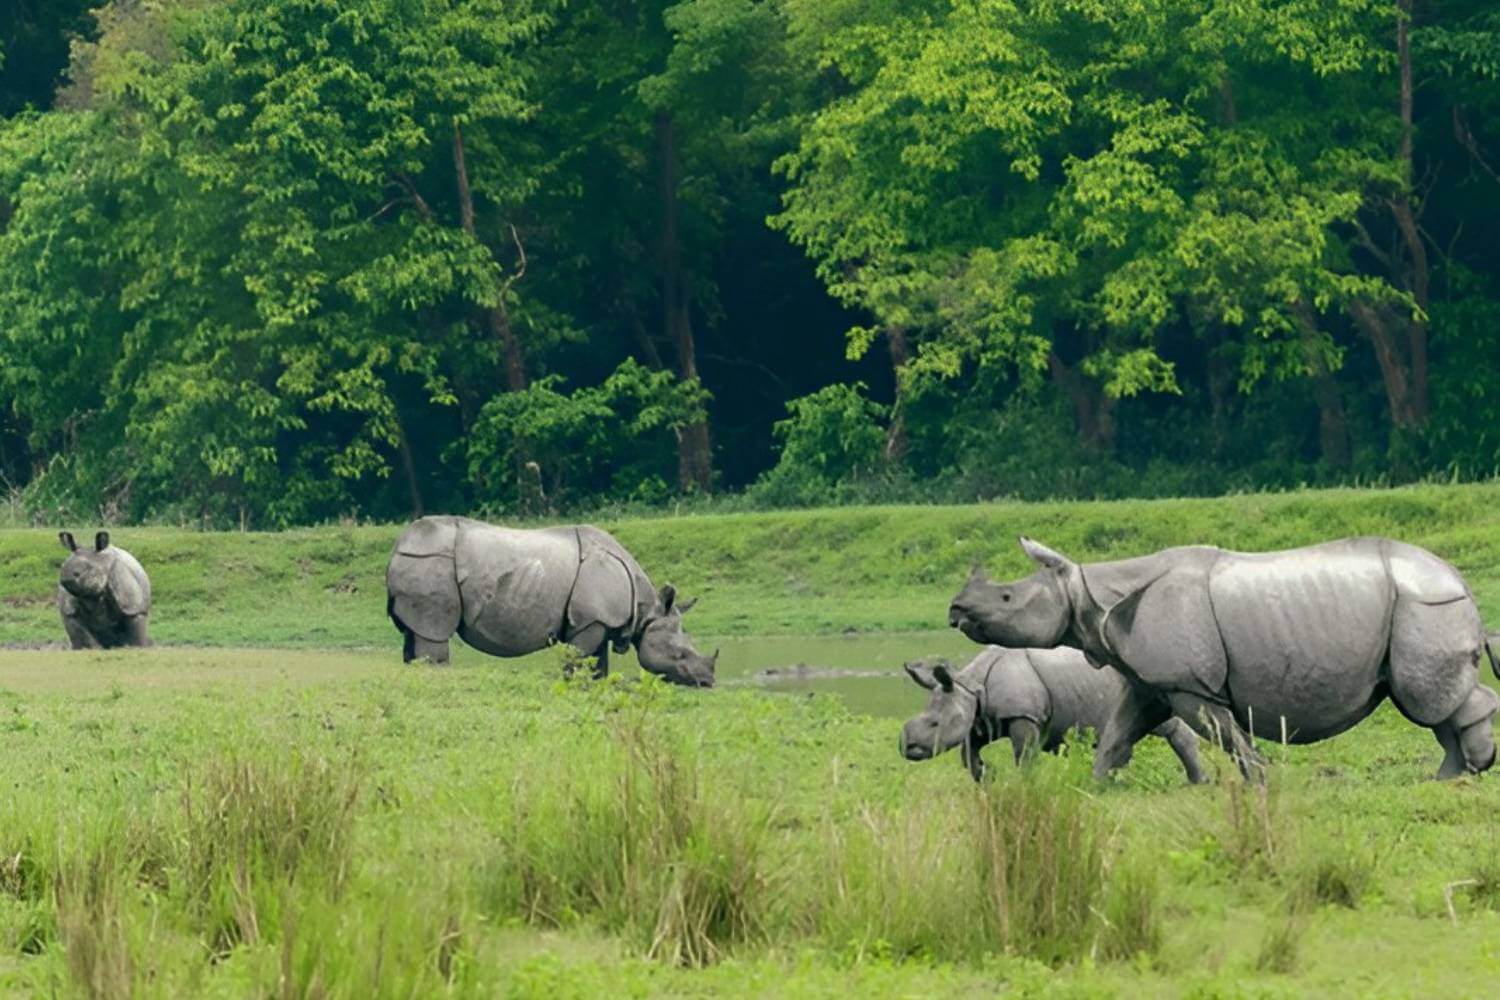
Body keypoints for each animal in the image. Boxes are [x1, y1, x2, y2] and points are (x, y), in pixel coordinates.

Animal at [386, 516, 716, 687]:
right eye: (680, 654)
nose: (708, 682)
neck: (647, 611)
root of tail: (397, 547)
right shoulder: (590, 621)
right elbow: (577, 658)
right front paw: (571, 684)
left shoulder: (600, 621)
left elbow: (598, 662)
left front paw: (595, 684)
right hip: (430, 563)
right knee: (434, 632)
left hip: (421, 563)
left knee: (412, 634)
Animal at [900, 646, 1204, 783]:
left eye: (934, 723)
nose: (907, 748)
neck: (972, 686)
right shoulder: (982, 718)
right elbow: (968, 754)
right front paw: (988, 775)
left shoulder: (1024, 715)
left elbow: (1024, 754)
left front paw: (1024, 783)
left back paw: (1197, 783)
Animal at [949, 537, 1500, 780]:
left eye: (1006, 598)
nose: (955, 609)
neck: (1088, 594)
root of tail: (1459, 579)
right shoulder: (1154, 682)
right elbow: (1117, 735)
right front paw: (1096, 786)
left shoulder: (1189, 683)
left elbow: (1226, 734)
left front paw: (1260, 781)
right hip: (1420, 605)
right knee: (1432, 705)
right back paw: (1452, 776)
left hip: (1425, 605)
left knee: (1425, 700)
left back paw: (1462, 773)